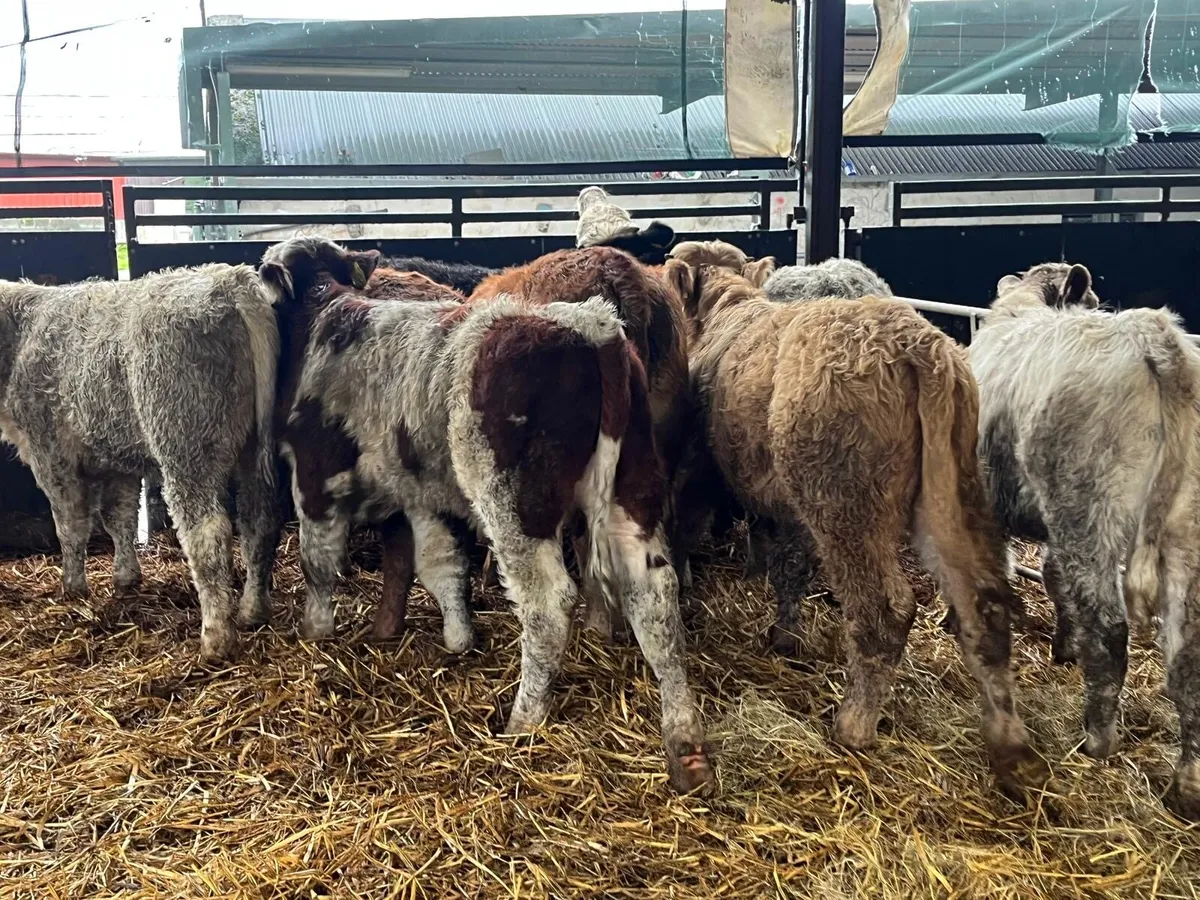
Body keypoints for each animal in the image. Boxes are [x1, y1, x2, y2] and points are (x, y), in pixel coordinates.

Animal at [0, 265, 282, 662]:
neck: (20, 333)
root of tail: (229, 281)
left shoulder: (50, 452)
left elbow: (70, 526)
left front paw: (73, 587)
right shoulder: (116, 462)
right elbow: (119, 518)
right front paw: (126, 577)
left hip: (185, 445)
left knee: (207, 534)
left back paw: (217, 639)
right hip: (255, 450)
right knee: (259, 520)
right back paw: (252, 611)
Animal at [263, 237, 713, 793]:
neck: (325, 316)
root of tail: (593, 328)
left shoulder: (315, 473)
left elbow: (319, 562)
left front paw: (316, 631)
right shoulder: (419, 493)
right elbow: (436, 564)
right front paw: (455, 636)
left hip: (514, 504)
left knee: (548, 605)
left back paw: (523, 719)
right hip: (633, 487)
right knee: (653, 595)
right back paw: (686, 745)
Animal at [669, 255, 1047, 798]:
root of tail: (915, 346)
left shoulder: (701, 475)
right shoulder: (784, 504)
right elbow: (788, 565)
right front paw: (783, 633)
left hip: (844, 504)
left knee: (884, 610)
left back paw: (853, 726)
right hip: (951, 494)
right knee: (983, 604)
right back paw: (1012, 749)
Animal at [970, 262, 1200, 819]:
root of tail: (1149, 332)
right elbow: (1052, 576)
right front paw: (1063, 645)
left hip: (1089, 513)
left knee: (1111, 630)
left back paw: (1097, 741)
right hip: (1181, 532)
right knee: (1188, 653)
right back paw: (1188, 786)